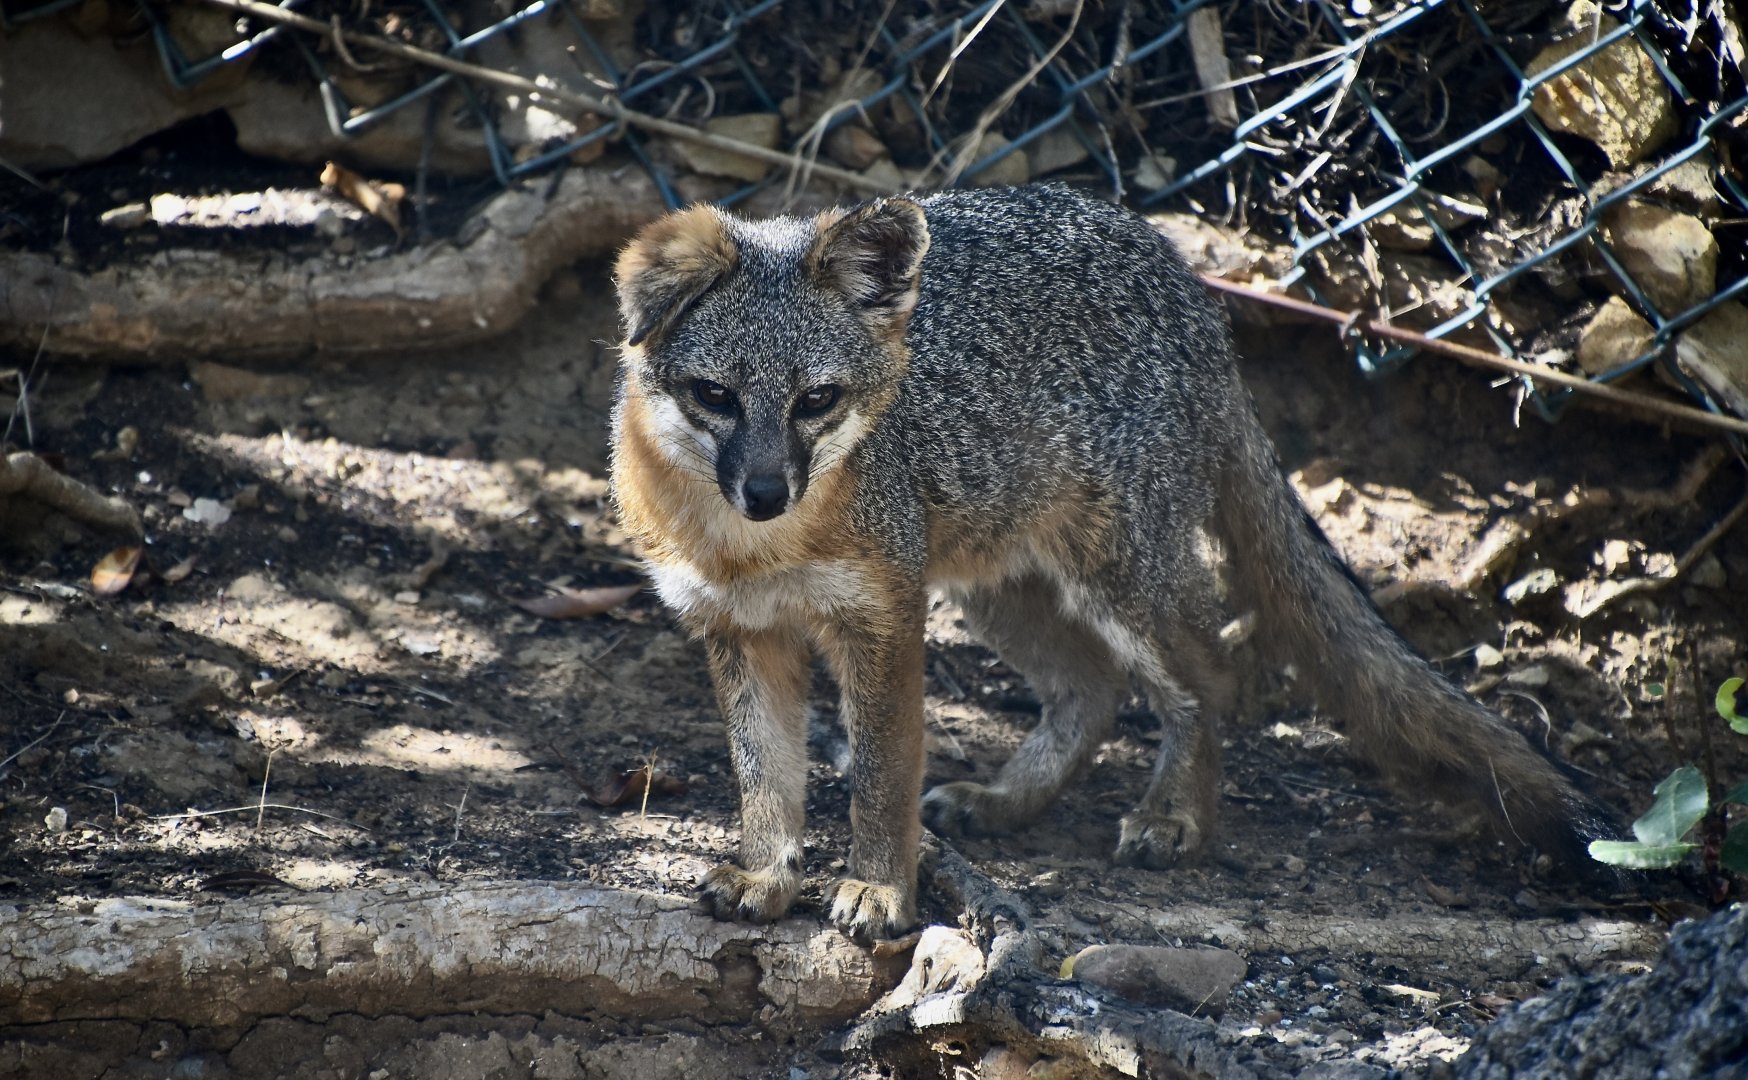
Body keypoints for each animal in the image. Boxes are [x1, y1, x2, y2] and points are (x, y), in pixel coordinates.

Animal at [607, 183, 1610, 941]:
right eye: (715, 395)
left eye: (816, 400)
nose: (765, 490)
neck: (755, 550)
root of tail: (1182, 279)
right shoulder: (741, 632)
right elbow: (765, 781)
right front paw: (766, 878)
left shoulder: (881, 619)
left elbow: (880, 780)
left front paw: (881, 891)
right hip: (997, 588)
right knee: (1090, 689)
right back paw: (1007, 801)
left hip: (1119, 578)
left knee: (1206, 678)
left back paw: (1177, 818)